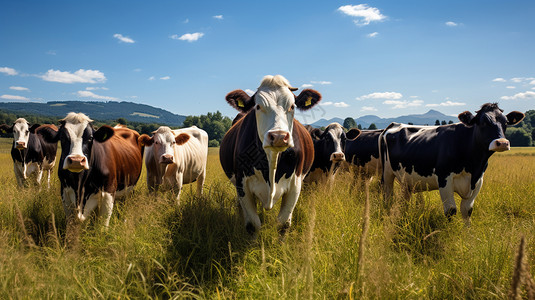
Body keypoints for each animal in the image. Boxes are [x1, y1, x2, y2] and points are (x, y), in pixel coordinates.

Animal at [219, 75, 320, 237]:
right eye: (258, 106)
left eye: (292, 106)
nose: (279, 136)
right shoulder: (242, 185)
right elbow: (253, 224)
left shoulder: (295, 185)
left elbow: (283, 223)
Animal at [378, 102, 524, 224]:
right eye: (482, 122)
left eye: (506, 122)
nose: (502, 143)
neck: (474, 165)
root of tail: (395, 124)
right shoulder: (444, 179)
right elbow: (451, 211)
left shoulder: (478, 180)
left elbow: (467, 211)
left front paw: (468, 234)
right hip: (387, 174)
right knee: (388, 198)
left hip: (407, 180)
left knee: (404, 200)